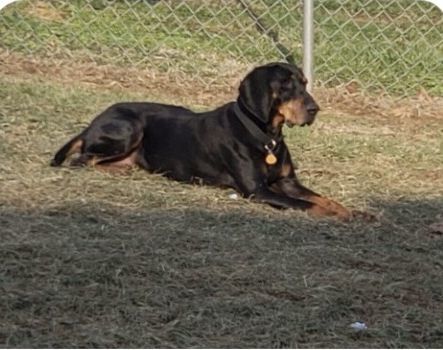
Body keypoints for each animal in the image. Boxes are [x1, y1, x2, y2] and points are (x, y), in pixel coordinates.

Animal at [51, 61, 368, 220]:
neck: (267, 136)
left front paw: (356, 212)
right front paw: (340, 216)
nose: (315, 109)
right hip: (131, 127)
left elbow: (324, 198)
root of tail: (93, 122)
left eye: (304, 83)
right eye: (285, 85)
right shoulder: (258, 191)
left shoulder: (287, 182)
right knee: (81, 159)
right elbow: (308, 205)